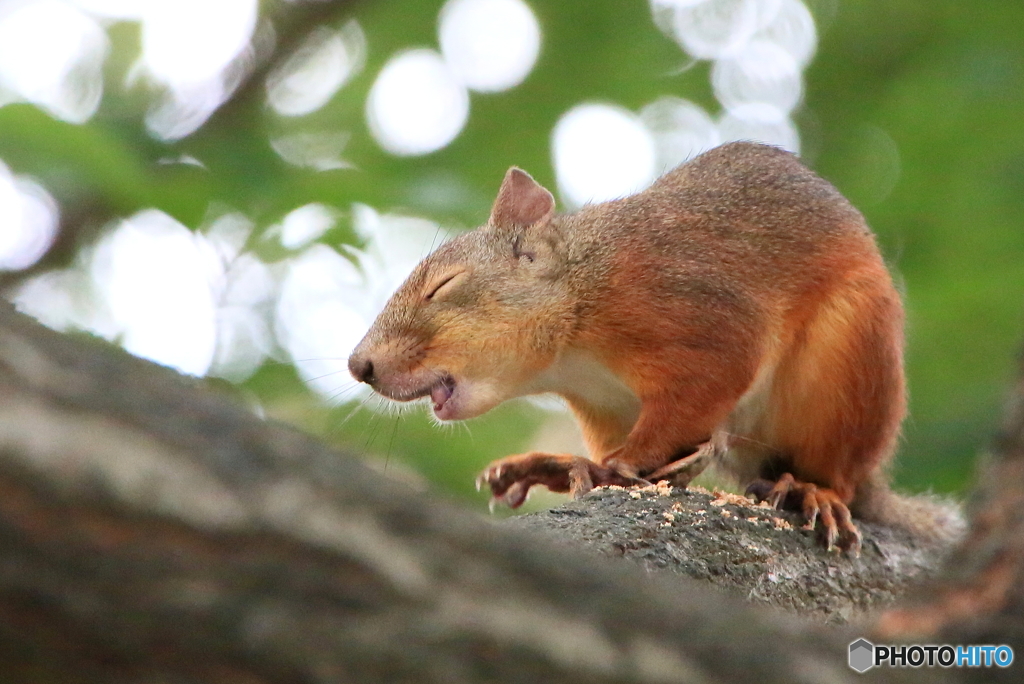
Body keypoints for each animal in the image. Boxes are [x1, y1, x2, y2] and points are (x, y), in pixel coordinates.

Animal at [348, 141, 962, 552]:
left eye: (442, 285)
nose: (360, 365)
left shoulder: (690, 313)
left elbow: (705, 384)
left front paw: (621, 465)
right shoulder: (603, 405)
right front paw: (569, 465)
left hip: (848, 369)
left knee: (839, 475)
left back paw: (812, 490)